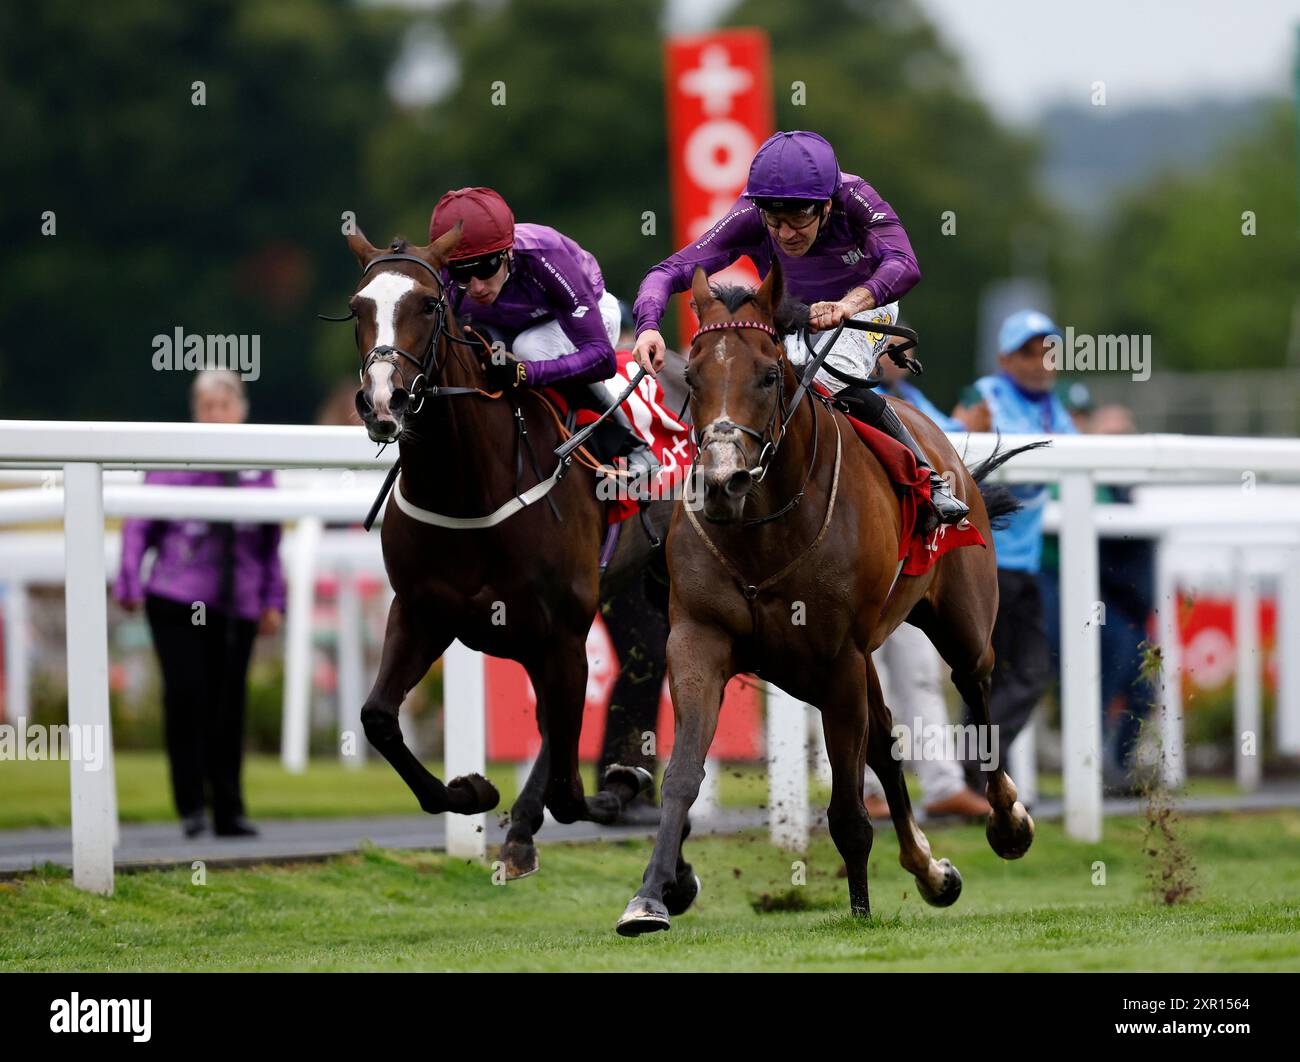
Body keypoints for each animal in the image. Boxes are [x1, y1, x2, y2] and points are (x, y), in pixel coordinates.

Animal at [340, 226, 670, 878]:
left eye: (428, 305)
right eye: (359, 307)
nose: (383, 401)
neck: (469, 486)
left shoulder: (561, 629)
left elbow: (570, 781)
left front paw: (618, 787)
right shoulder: (422, 612)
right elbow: (378, 718)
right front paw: (471, 790)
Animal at [616, 261, 1034, 930]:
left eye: (767, 374)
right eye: (695, 376)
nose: (723, 479)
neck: (762, 530)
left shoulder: (838, 659)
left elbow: (847, 810)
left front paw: (860, 909)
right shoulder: (701, 639)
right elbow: (681, 775)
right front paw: (652, 895)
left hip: (959, 622)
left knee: (975, 688)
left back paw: (1008, 822)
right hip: (833, 666)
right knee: (886, 742)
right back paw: (930, 870)